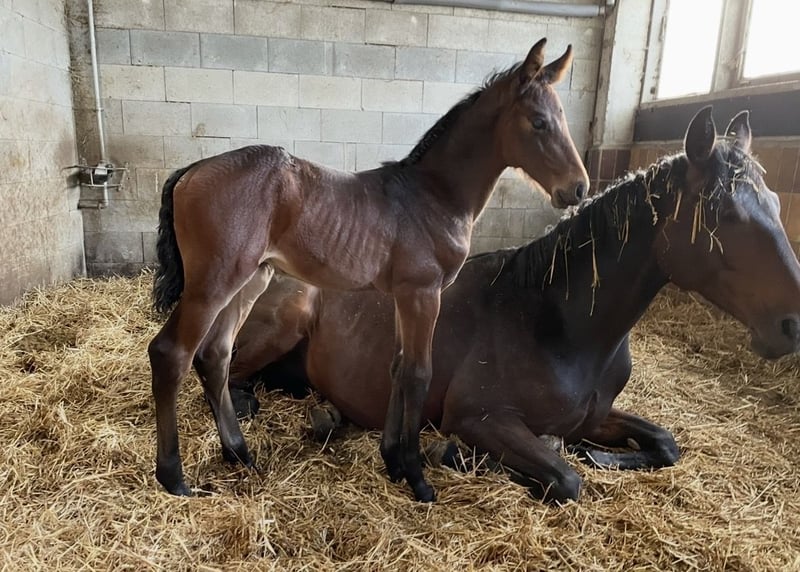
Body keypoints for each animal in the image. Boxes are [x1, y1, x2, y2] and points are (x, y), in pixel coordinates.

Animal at [148, 38, 590, 499]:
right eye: (539, 122)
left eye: (562, 118)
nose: (578, 188)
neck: (432, 196)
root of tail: (190, 171)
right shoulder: (423, 292)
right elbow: (418, 373)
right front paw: (416, 477)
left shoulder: (401, 295)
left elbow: (397, 367)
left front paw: (393, 461)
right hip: (213, 282)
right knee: (171, 354)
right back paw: (174, 477)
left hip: (252, 279)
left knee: (215, 354)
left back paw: (239, 453)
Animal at [226, 107, 800, 502]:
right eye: (724, 214)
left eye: (774, 202)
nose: (791, 323)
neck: (561, 327)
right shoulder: (480, 417)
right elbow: (564, 479)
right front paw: (449, 453)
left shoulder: (593, 414)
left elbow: (663, 442)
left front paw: (596, 452)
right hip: (283, 323)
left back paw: (326, 413)